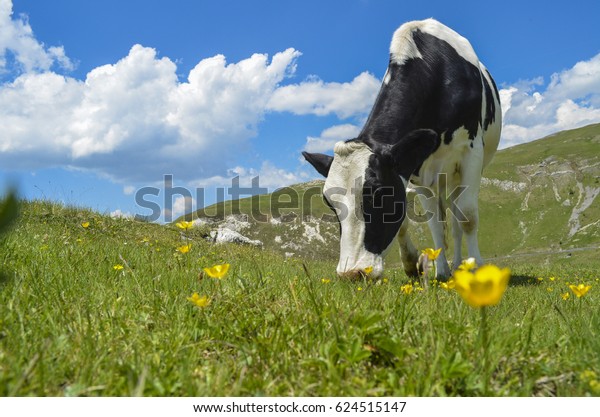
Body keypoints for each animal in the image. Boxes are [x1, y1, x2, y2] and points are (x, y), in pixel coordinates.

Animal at [300, 19, 502, 280]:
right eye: (328, 202)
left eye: (379, 193)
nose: (352, 273)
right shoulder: (417, 169)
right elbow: (432, 223)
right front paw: (425, 266)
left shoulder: (472, 153)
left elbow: (468, 217)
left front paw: (477, 268)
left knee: (458, 217)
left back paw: (461, 265)